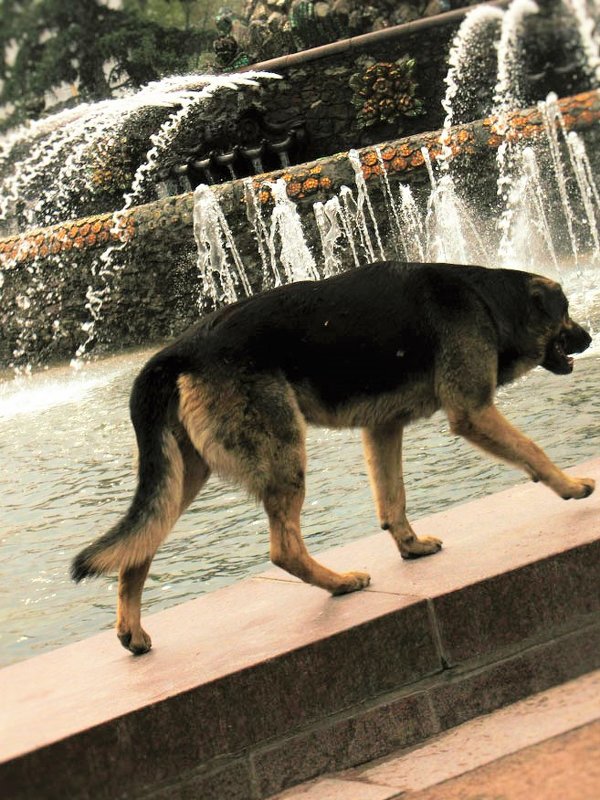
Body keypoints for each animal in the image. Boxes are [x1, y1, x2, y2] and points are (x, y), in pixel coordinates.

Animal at [71, 260, 596, 652]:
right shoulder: (472, 411)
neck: (486, 299)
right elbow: (533, 450)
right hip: (282, 454)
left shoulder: (382, 427)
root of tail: (176, 350)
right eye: (567, 311)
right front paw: (572, 487)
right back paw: (339, 583)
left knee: (139, 546)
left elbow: (392, 500)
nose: (590, 337)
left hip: (187, 473)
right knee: (283, 549)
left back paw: (132, 632)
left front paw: (410, 547)